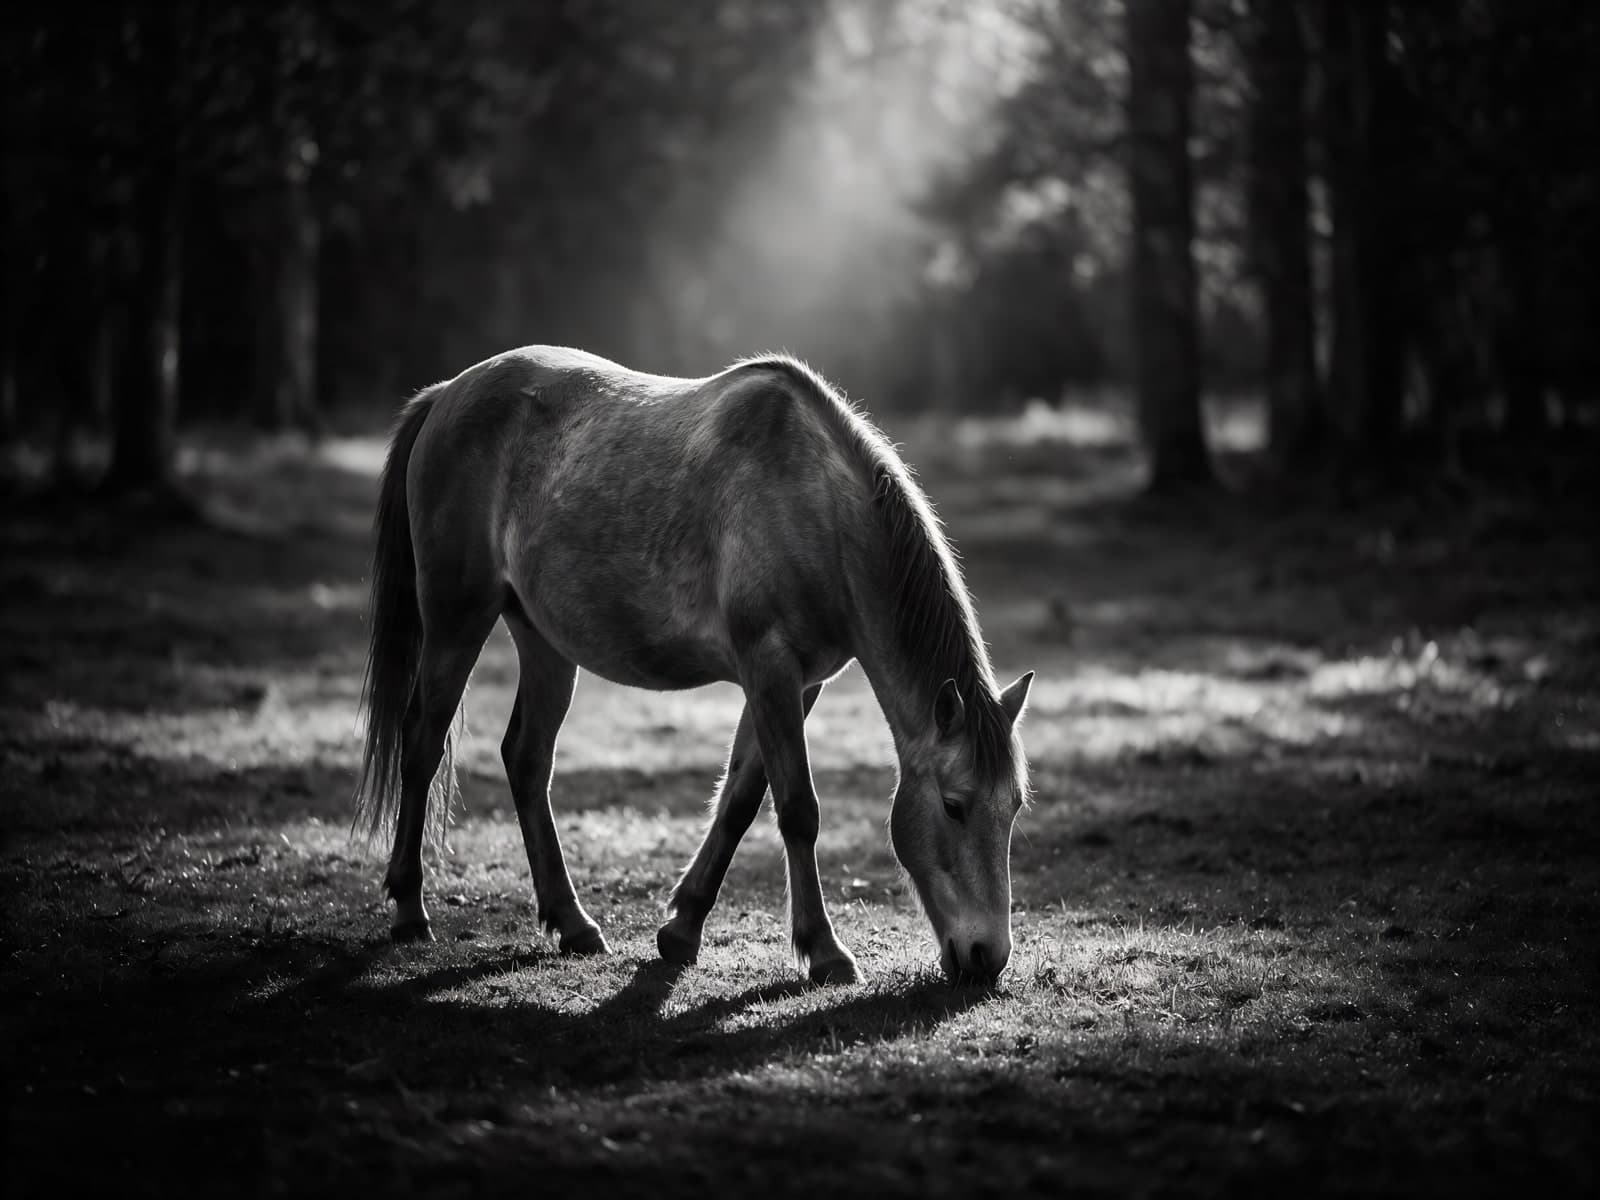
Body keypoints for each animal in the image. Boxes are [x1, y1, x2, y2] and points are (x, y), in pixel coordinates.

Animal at [354, 346, 1034, 985]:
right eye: (954, 805)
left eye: (1013, 807)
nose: (988, 956)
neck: (816, 508)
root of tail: (448, 393)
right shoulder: (770, 667)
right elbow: (797, 808)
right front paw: (824, 952)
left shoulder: (798, 683)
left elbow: (740, 800)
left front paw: (681, 930)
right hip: (456, 622)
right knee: (422, 745)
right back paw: (411, 911)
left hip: (543, 642)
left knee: (526, 760)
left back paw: (572, 923)